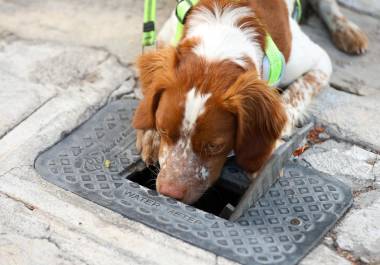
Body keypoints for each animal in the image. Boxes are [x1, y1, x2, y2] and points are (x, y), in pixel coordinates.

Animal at [132, 0, 364, 203]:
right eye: (163, 130)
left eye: (214, 146)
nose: (169, 193)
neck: (223, 33)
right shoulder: (163, 39)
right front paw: (150, 136)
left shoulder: (320, 61)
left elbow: (290, 101)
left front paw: (268, 153)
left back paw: (347, 31)